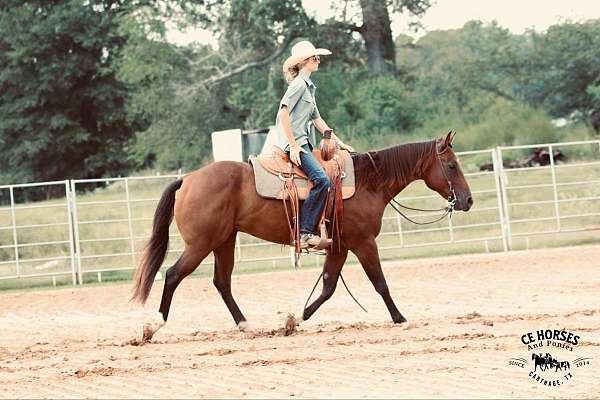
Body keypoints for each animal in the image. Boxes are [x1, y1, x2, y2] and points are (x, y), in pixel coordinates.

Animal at [131, 133, 474, 340]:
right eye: (451, 165)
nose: (468, 200)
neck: (369, 182)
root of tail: (187, 179)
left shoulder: (340, 247)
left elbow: (328, 286)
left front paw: (296, 318)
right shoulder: (364, 243)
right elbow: (380, 283)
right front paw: (400, 318)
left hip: (223, 241)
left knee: (222, 282)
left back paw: (245, 324)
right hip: (201, 244)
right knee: (173, 274)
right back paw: (153, 326)